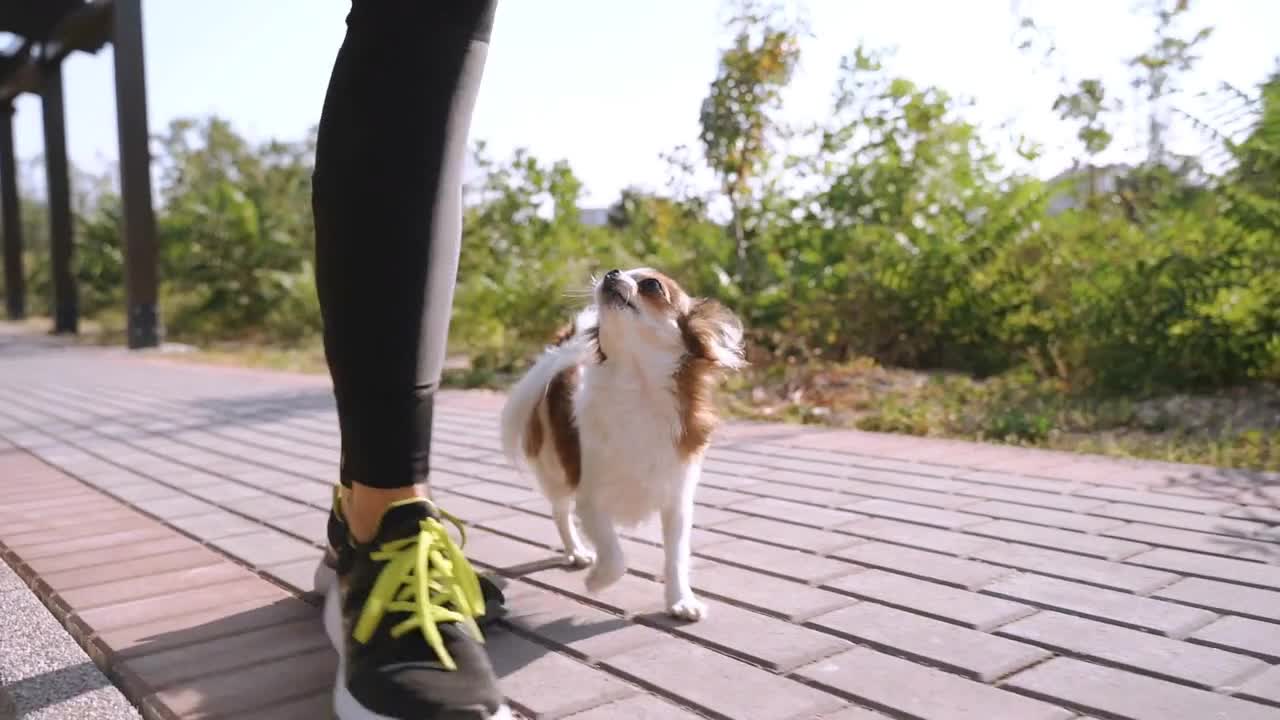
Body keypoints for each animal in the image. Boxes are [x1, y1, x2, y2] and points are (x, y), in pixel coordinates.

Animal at [496, 266, 747, 620]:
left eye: (652, 285)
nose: (611, 272)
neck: (637, 389)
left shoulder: (677, 501)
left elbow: (676, 556)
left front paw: (680, 600)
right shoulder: (590, 500)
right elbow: (615, 556)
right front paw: (597, 581)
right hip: (555, 468)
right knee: (560, 511)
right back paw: (577, 552)